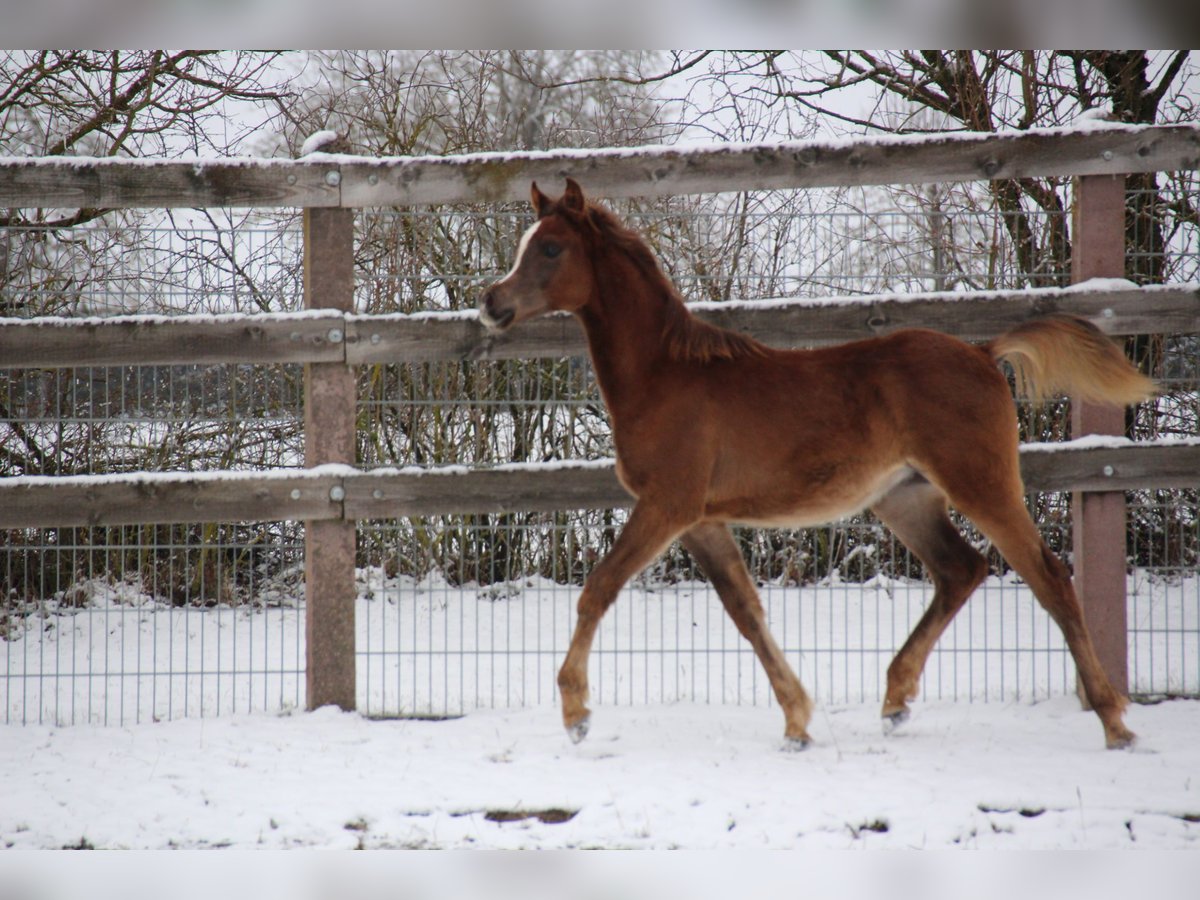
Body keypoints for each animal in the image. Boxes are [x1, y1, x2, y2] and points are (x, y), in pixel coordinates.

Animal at [475, 177, 1152, 753]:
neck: (665, 376)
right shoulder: (702, 521)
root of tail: (984, 353)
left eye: (552, 248)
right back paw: (896, 701)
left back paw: (1115, 722)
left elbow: (599, 589)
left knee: (1050, 578)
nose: (491, 303)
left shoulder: (667, 506)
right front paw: (798, 720)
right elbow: (746, 612)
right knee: (961, 570)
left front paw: (576, 714)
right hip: (905, 498)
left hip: (982, 484)